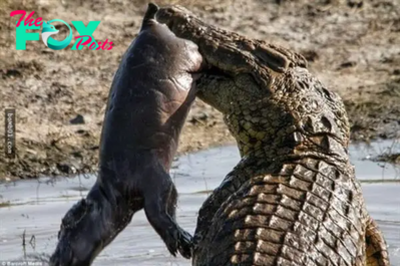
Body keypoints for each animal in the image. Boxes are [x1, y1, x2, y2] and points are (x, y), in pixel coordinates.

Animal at [48, 3, 202, 264]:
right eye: (59, 229)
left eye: (67, 225)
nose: (52, 258)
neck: (111, 193)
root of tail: (147, 25)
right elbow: (166, 206)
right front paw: (181, 243)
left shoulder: (153, 177)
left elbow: (158, 210)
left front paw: (183, 243)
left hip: (188, 52)